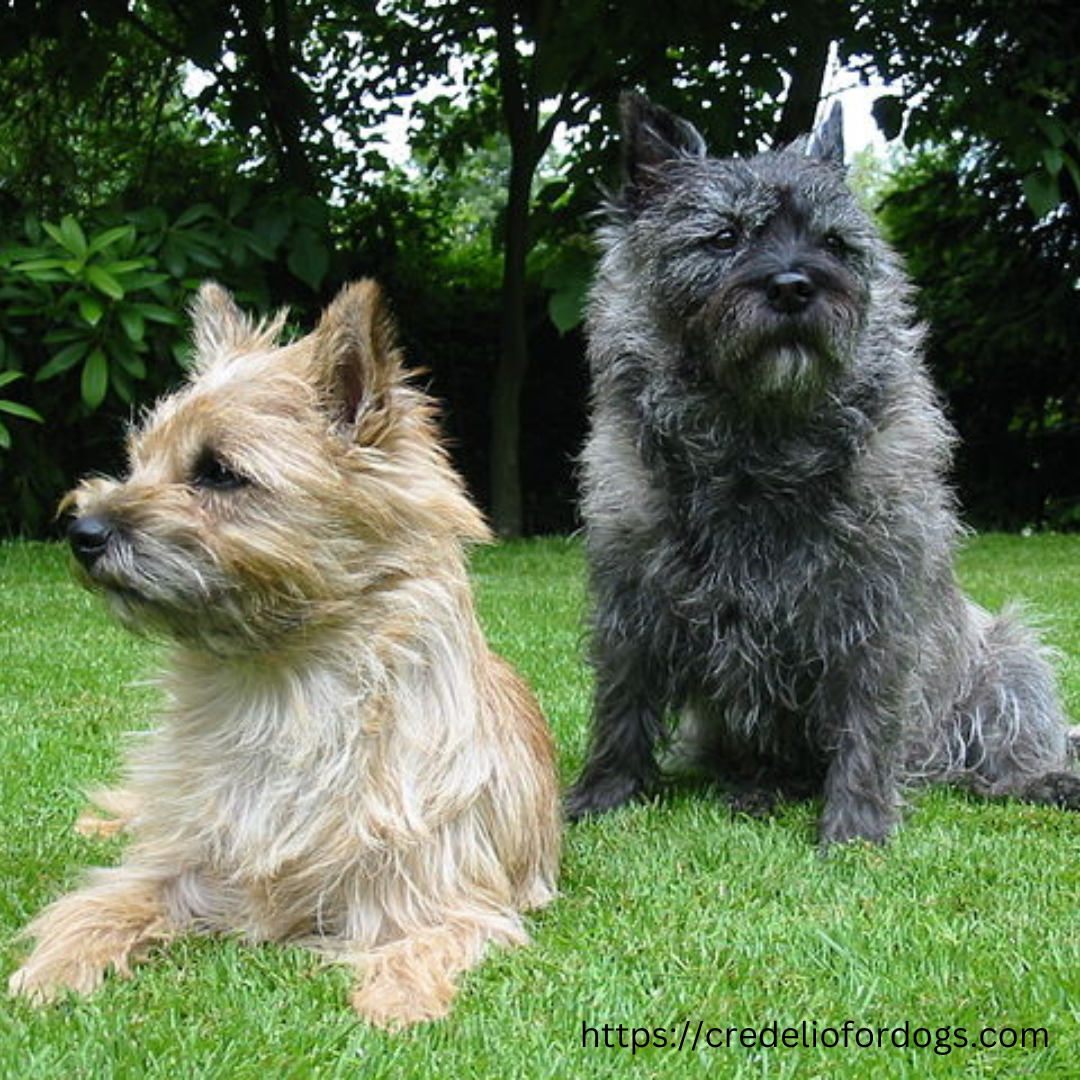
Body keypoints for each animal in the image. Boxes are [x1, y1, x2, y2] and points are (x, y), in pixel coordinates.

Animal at [8, 278, 561, 1019]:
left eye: (218, 473)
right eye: (137, 460)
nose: (82, 531)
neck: (281, 688)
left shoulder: (436, 896)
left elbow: (419, 947)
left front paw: (396, 1007)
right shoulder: (179, 869)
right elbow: (98, 904)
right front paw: (49, 972)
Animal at [565, 92, 1080, 846]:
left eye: (834, 244)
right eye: (724, 237)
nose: (793, 286)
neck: (759, 438)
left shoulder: (876, 608)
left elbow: (869, 715)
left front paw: (857, 826)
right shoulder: (631, 599)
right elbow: (621, 704)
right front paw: (601, 797)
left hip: (1007, 656)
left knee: (1003, 750)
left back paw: (1042, 779)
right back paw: (759, 789)